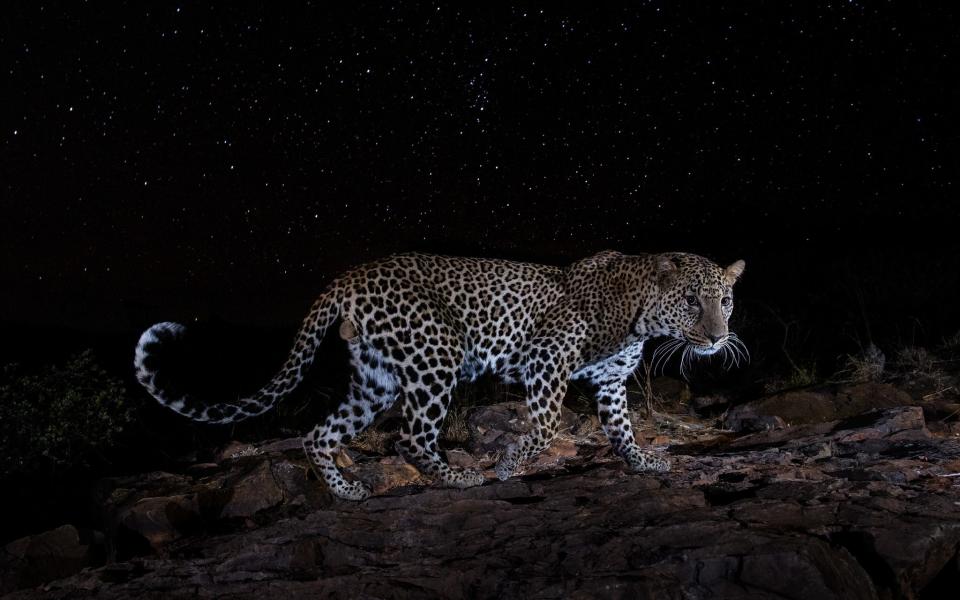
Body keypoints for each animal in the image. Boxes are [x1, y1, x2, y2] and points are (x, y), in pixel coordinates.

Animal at [137, 251, 744, 500]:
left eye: (726, 300)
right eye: (692, 300)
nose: (718, 337)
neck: (642, 314)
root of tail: (348, 276)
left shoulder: (613, 381)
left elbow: (621, 428)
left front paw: (643, 463)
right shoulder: (546, 358)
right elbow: (546, 425)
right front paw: (509, 463)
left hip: (376, 377)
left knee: (320, 433)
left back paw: (348, 492)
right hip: (436, 354)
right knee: (410, 436)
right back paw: (459, 478)